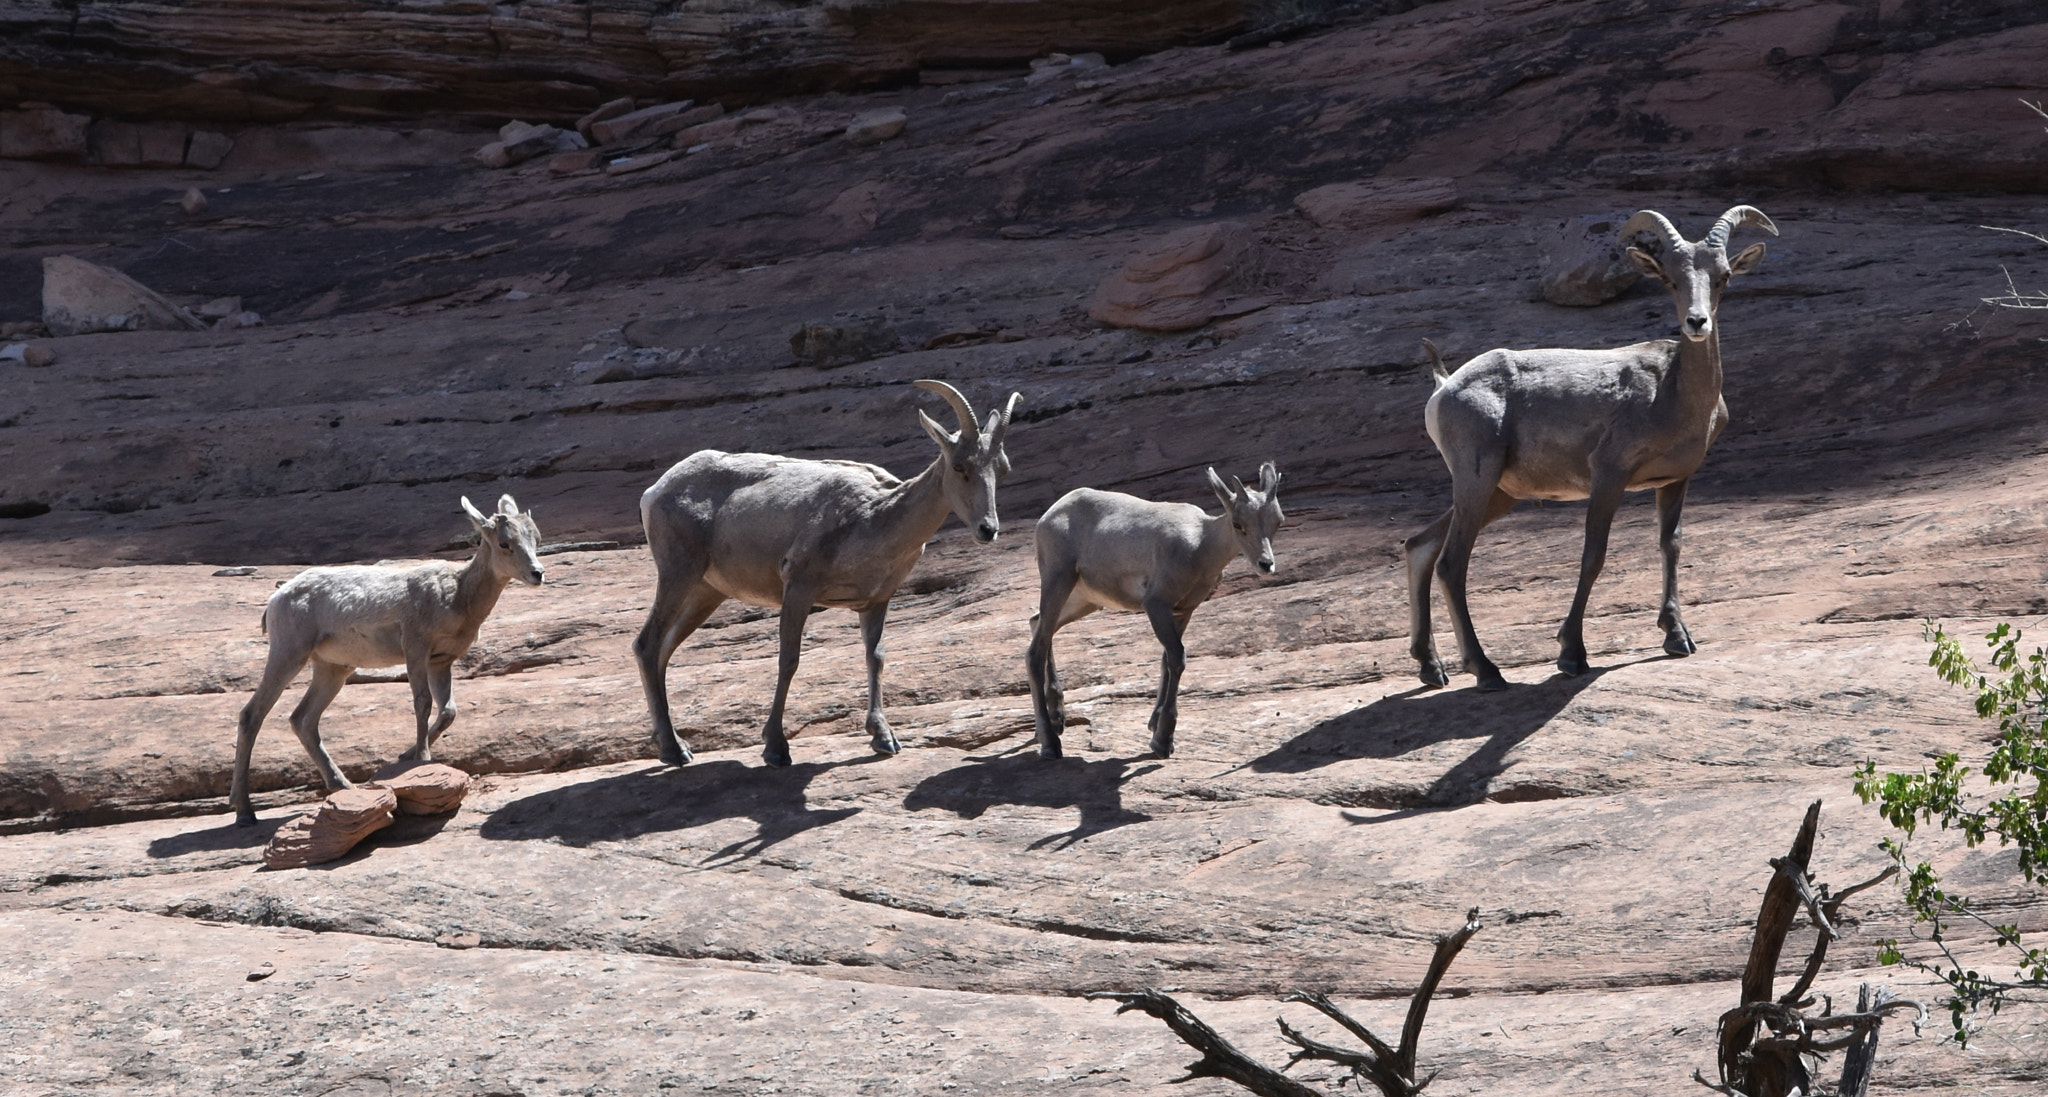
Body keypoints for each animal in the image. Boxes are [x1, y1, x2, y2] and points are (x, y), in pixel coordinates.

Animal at [230, 495, 544, 822]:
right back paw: (245, 812)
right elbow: (423, 704)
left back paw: (343, 785)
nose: (537, 573)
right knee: (252, 715)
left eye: (536, 538)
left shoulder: (441, 661)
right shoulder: (416, 649)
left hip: (332, 668)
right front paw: (422, 761)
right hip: (288, 653)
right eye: (505, 543)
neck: (458, 595)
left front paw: (405, 756)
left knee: (302, 719)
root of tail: (275, 601)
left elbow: (448, 711)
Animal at [634, 380, 1019, 765]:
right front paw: (776, 748)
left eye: (1002, 469)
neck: (874, 517)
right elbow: (789, 660)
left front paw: (884, 738)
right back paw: (673, 750)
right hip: (677, 574)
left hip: (706, 592)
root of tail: (654, 492)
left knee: (664, 650)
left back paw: (670, 741)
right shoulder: (799, 589)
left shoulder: (876, 601)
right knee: (647, 645)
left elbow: (876, 657)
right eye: (959, 466)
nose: (988, 529)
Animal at [1024, 458, 1277, 757]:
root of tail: (1047, 518)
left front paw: (1154, 725)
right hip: (1058, 579)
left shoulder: (1183, 610)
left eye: (1277, 521)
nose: (1266, 564)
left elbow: (1167, 661)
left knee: (1038, 623)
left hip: (1083, 599)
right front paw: (1163, 740)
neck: (1200, 546)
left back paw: (1055, 719)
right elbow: (1177, 658)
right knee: (1035, 651)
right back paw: (1051, 743)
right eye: (1238, 524)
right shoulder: (1156, 604)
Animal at [1409, 203, 1777, 695]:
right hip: (1477, 479)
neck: (1672, 395)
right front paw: (1571, 654)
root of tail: (1444, 388)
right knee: (1451, 563)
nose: (1697, 323)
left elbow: (1671, 544)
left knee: (1420, 546)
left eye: (1723, 277)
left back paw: (1432, 668)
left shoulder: (1675, 480)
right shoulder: (1608, 475)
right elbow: (1593, 556)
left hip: (1498, 494)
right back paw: (1486, 671)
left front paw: (1677, 637)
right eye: (1670, 279)